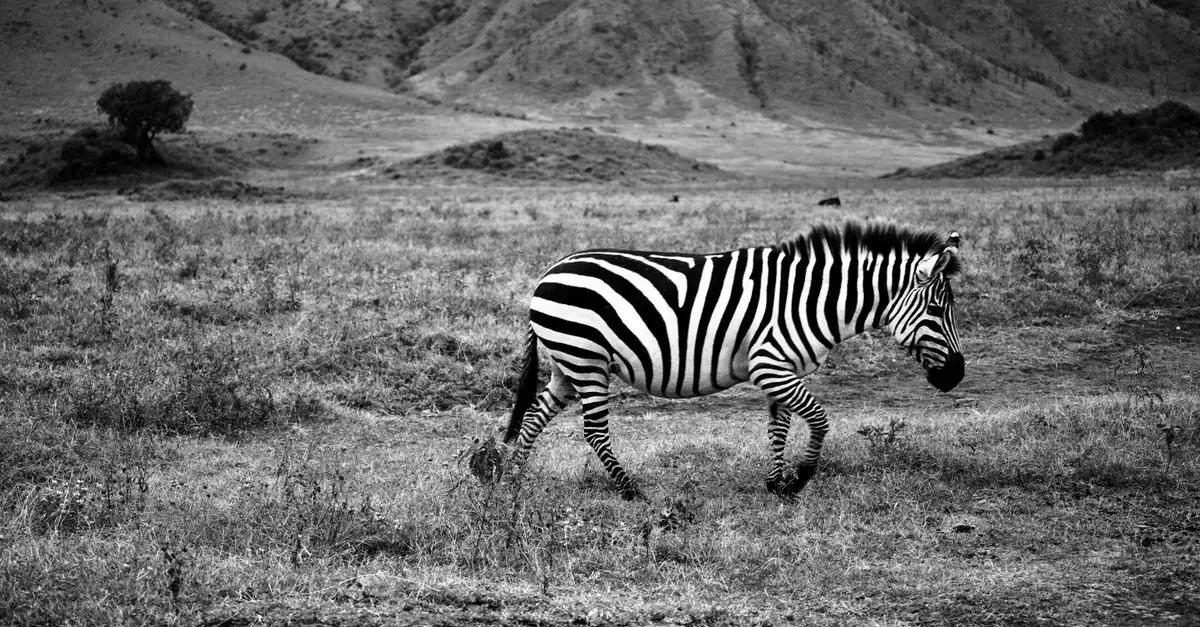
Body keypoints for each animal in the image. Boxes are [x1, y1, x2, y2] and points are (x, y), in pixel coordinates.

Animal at [502, 220, 963, 499]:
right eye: (937, 310)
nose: (956, 377)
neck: (812, 300)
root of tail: (548, 272)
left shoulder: (783, 369)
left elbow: (779, 428)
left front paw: (777, 484)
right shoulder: (769, 365)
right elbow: (819, 419)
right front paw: (802, 477)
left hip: (568, 362)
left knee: (534, 417)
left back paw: (512, 480)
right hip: (587, 359)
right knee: (594, 430)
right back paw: (631, 489)